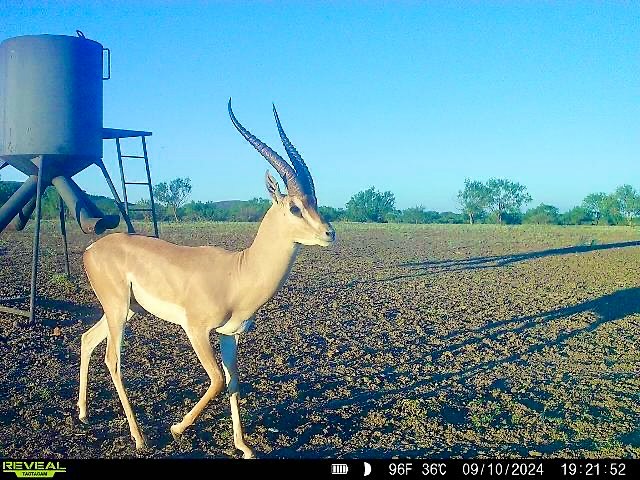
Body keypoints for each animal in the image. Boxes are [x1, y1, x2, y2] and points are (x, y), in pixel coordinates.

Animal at [77, 99, 335, 458]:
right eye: (295, 208)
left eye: (315, 202)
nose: (329, 233)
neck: (238, 273)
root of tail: (92, 248)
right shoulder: (196, 330)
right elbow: (216, 380)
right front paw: (176, 428)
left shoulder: (230, 334)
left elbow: (233, 380)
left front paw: (244, 446)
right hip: (117, 310)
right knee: (113, 360)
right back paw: (139, 438)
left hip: (126, 310)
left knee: (87, 339)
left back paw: (84, 415)